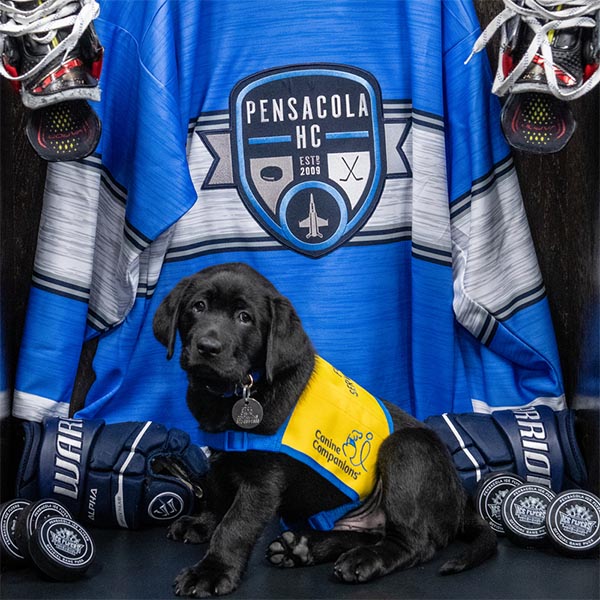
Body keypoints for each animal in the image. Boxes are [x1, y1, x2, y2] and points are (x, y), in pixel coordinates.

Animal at [154, 262, 496, 596]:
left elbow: (236, 524)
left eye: (244, 318)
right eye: (198, 306)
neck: (238, 392)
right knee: (371, 533)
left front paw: (212, 571)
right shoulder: (221, 453)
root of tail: (459, 503)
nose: (207, 347)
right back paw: (302, 548)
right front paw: (202, 523)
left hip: (407, 449)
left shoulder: (262, 480)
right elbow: (218, 494)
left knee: (415, 543)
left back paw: (364, 559)